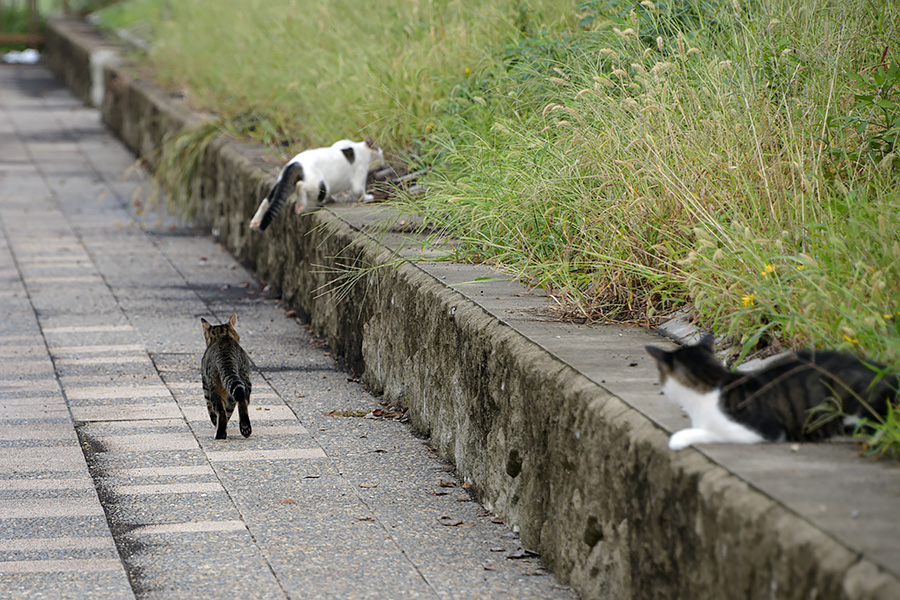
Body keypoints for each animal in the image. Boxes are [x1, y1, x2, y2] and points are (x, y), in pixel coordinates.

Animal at [248, 139, 384, 232]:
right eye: (381, 154)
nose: (384, 163)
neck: (357, 148)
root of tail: (295, 163)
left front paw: (332, 199)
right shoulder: (359, 175)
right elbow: (358, 191)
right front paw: (368, 197)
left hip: (281, 184)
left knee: (267, 200)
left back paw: (255, 221)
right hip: (319, 184)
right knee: (301, 186)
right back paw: (301, 206)